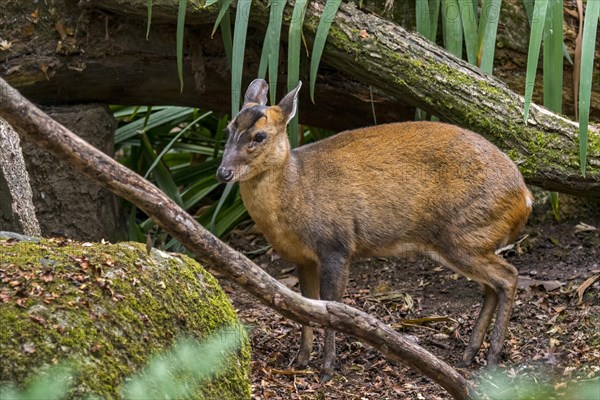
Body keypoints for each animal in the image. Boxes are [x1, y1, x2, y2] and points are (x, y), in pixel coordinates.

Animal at [218, 78, 532, 382]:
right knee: (491, 286)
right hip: (470, 239)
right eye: (229, 128)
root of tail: (525, 196)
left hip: (463, 234)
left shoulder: (336, 246)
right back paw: (468, 355)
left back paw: (491, 359)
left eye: (260, 136)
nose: (223, 172)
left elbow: (331, 306)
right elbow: (305, 307)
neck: (296, 190)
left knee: (509, 276)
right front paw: (301, 360)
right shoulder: (302, 258)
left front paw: (327, 369)